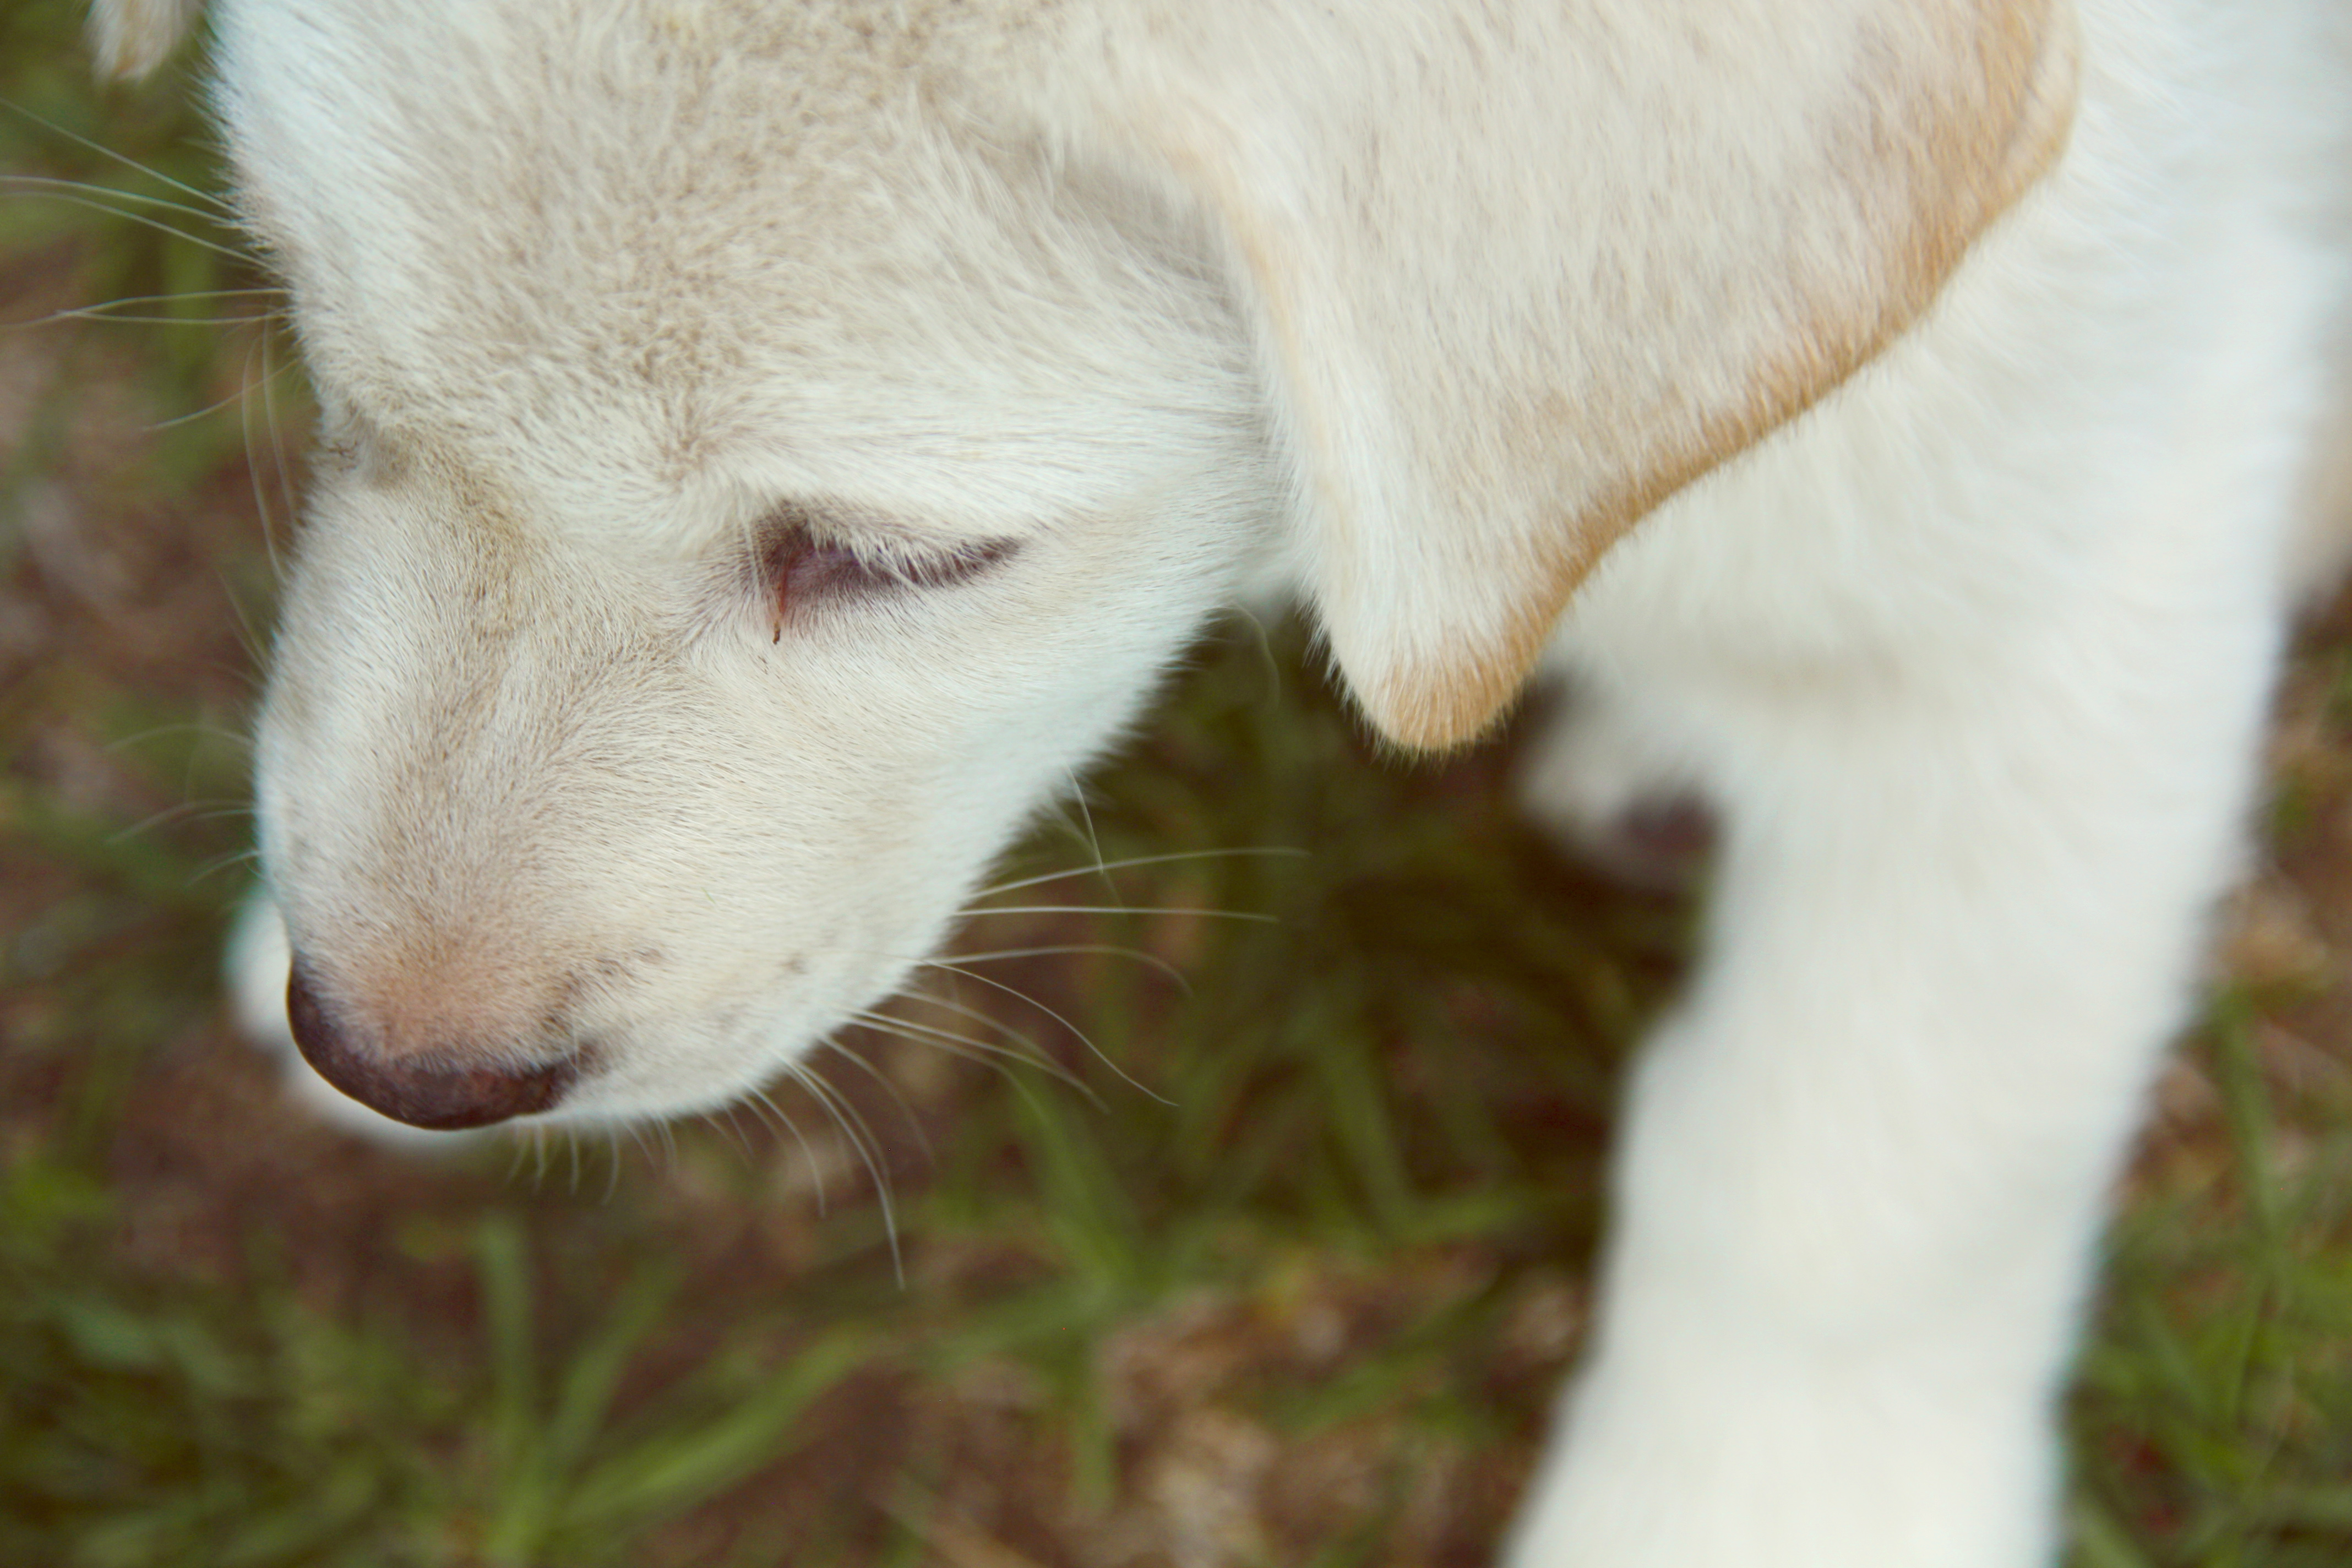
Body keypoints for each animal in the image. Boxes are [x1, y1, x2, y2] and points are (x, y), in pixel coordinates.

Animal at [91, 3, 2352, 1568]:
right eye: (316, 346)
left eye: (893, 557)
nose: (393, 1059)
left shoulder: (2049, 592)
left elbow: (1859, 1166)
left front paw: (1756, 1518)